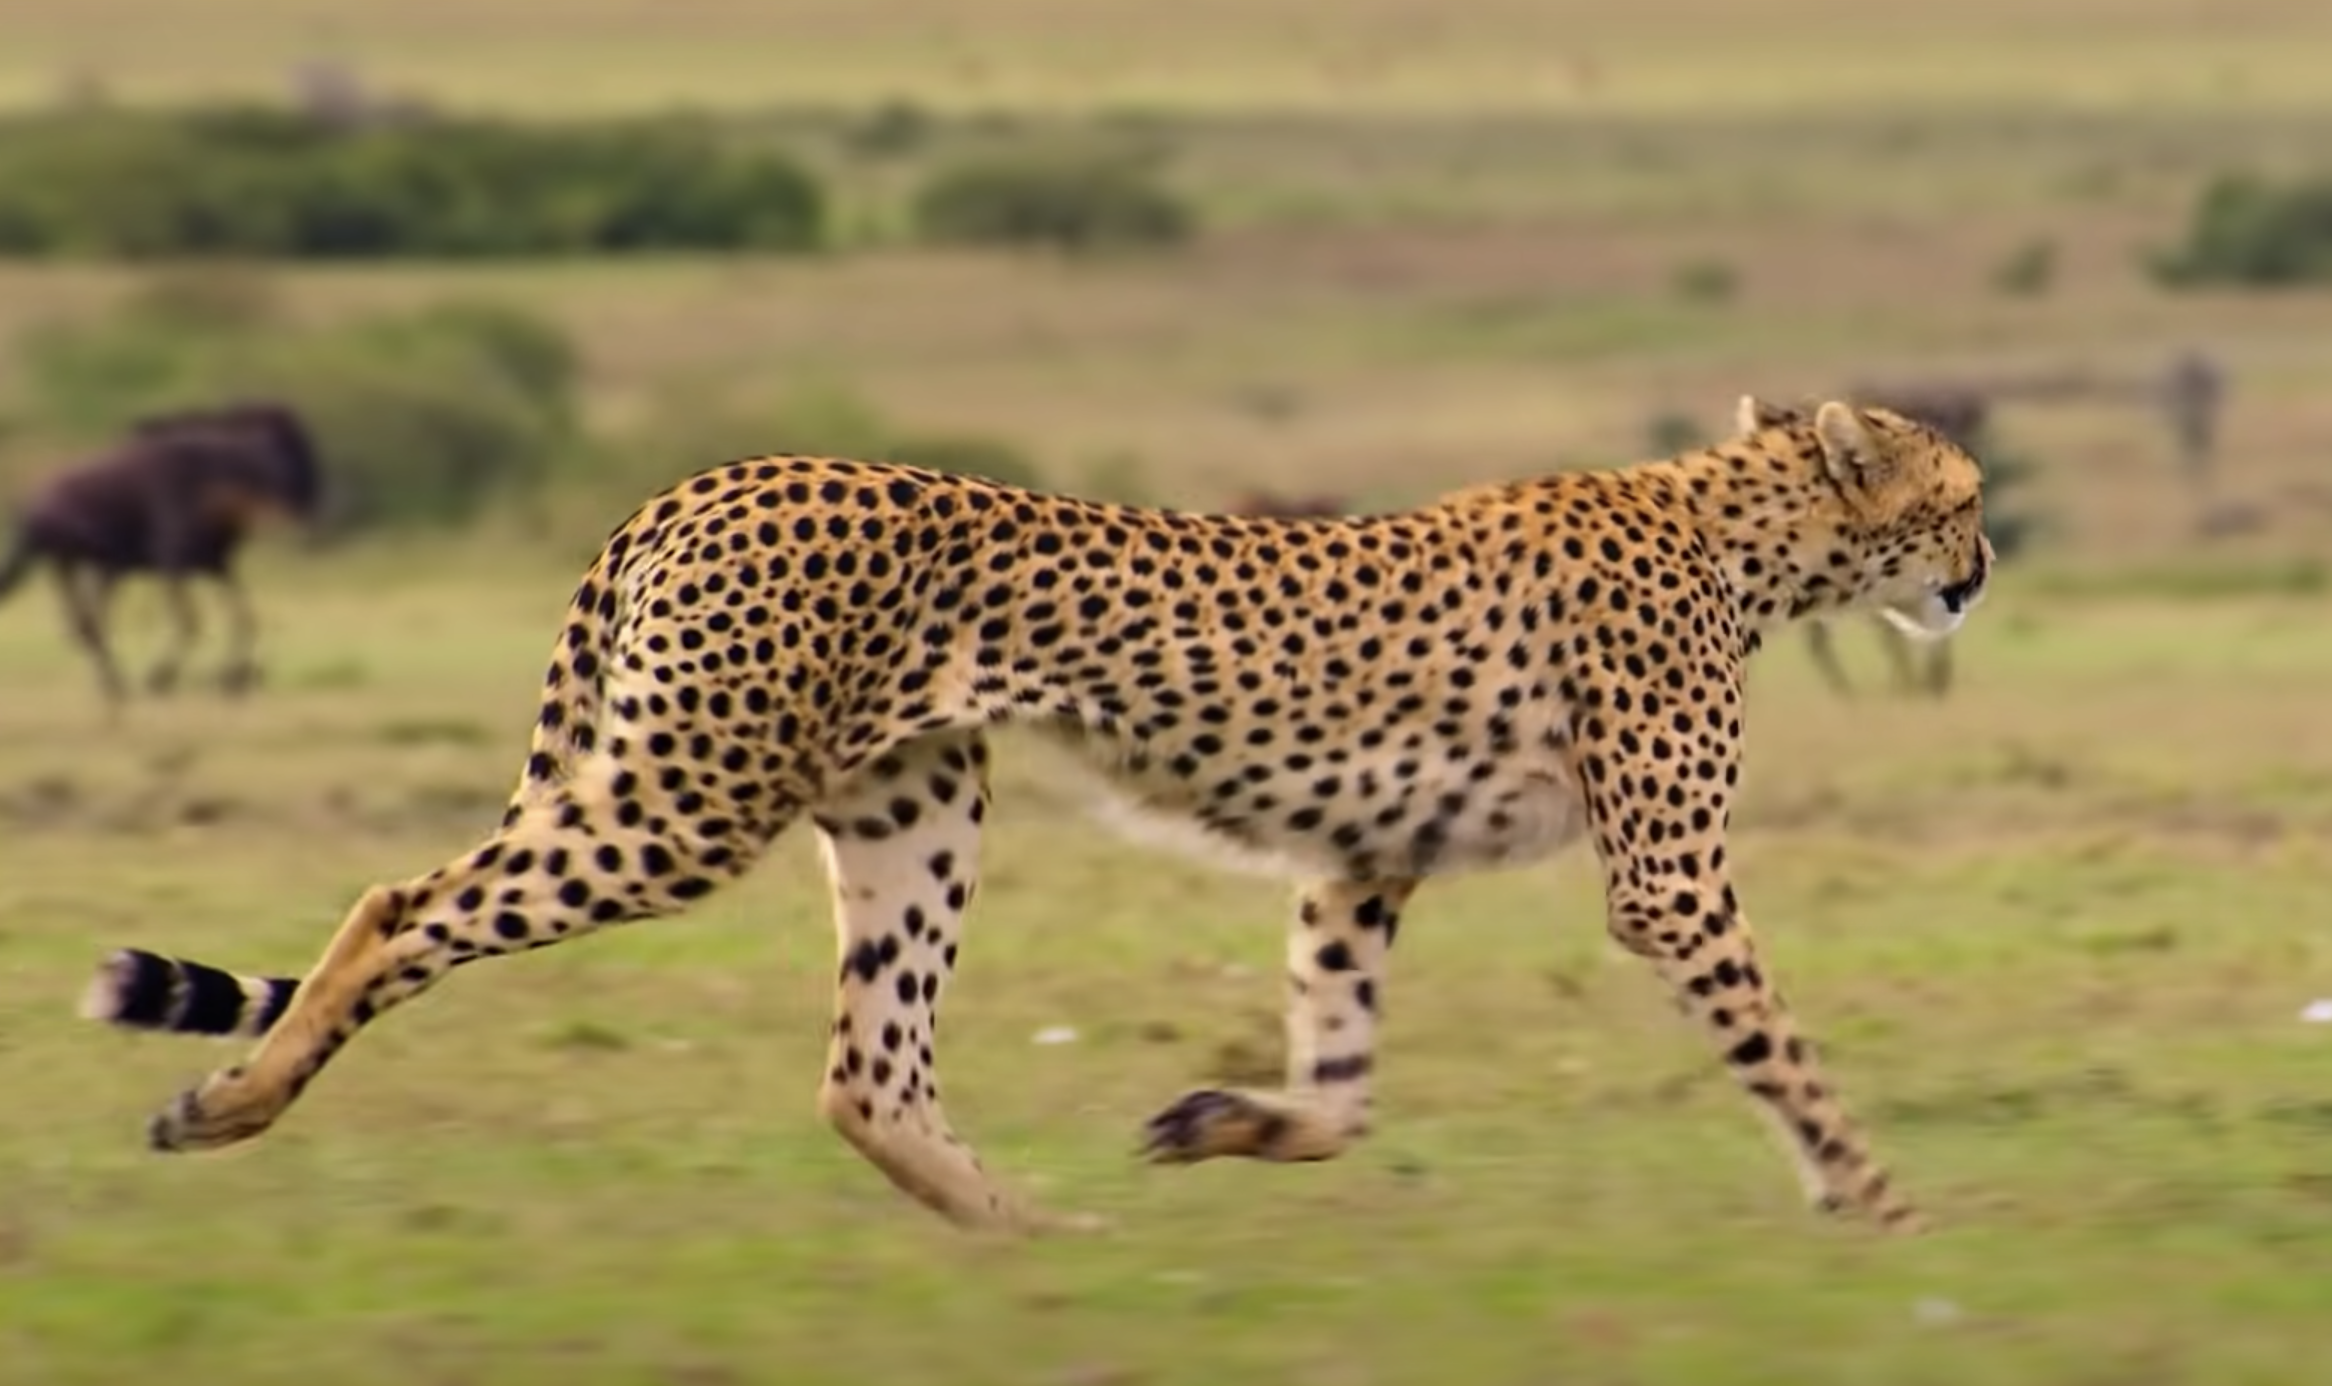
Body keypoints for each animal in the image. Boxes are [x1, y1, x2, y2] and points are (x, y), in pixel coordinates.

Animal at [86, 387, 1986, 1232]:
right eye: (1959, 493)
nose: (1980, 569)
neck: (1742, 530)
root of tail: (712, 472)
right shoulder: (1665, 880)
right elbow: (1778, 1041)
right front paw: (1874, 1193)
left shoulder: (1356, 858)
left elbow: (1342, 1076)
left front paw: (1222, 1123)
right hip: (686, 796)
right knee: (399, 906)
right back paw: (229, 1101)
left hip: (911, 805)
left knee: (867, 1067)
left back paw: (1025, 1234)